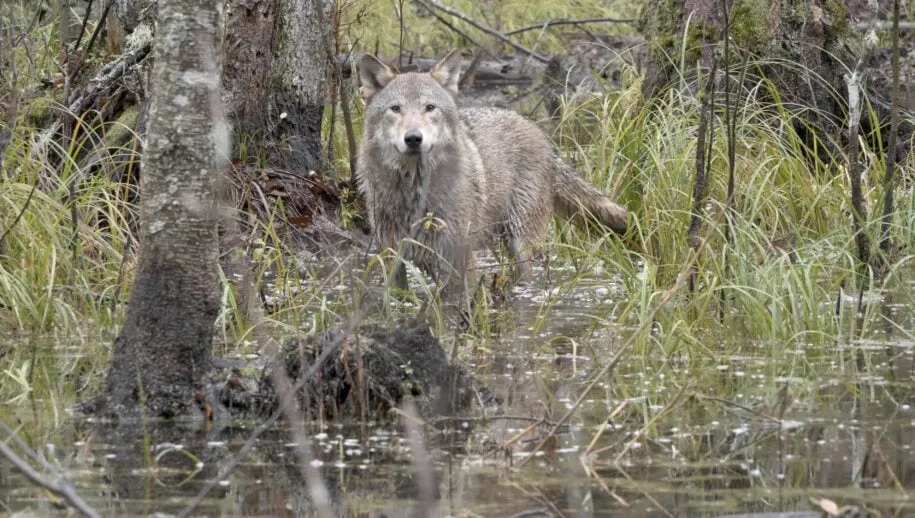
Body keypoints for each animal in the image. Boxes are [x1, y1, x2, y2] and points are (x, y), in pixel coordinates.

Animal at [356, 49, 628, 299]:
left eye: (429, 108)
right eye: (395, 109)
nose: (413, 138)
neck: (414, 191)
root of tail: (537, 132)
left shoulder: (460, 259)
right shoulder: (391, 257)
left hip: (520, 242)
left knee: (528, 277)